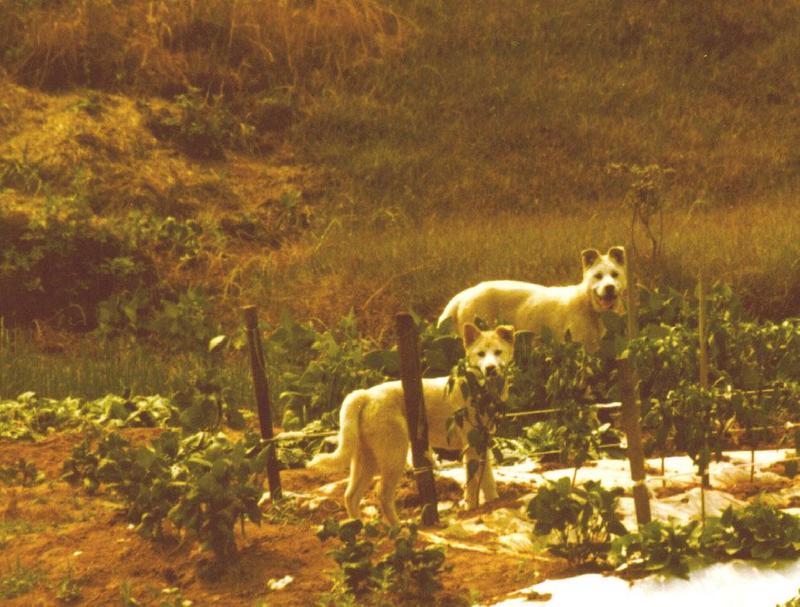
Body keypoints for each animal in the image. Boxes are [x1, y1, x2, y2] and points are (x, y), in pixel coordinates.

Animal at [310, 324, 516, 528]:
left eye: (498, 352)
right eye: (480, 354)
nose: (490, 368)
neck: (479, 388)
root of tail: (365, 395)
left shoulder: (483, 443)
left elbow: (488, 481)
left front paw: (494, 504)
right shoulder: (471, 447)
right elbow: (473, 486)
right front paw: (472, 511)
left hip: (367, 460)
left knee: (351, 495)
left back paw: (358, 528)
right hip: (394, 455)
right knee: (382, 494)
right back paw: (398, 527)